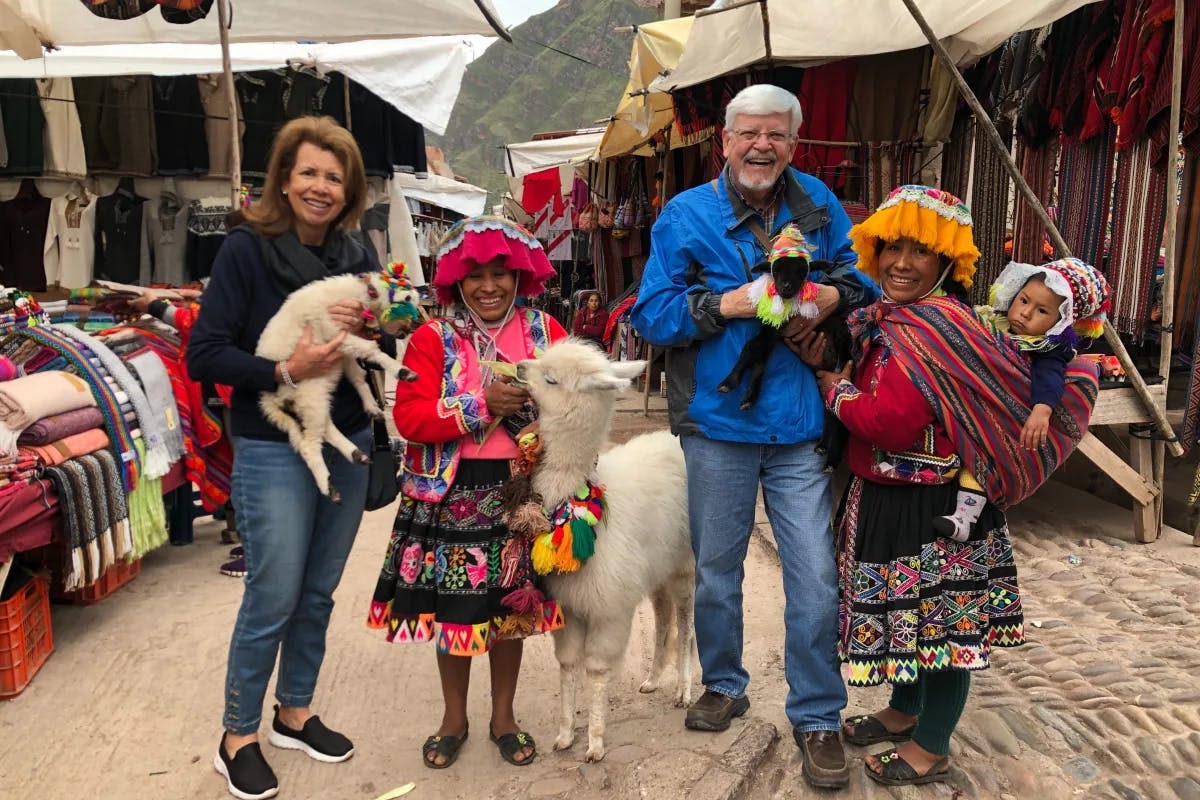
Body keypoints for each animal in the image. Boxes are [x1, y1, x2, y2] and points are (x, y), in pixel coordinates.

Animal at [254, 268, 422, 506]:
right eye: (408, 302)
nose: (411, 328)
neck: (359, 294)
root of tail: (269, 400)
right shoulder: (334, 333)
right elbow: (371, 350)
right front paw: (402, 371)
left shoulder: (343, 349)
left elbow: (359, 376)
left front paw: (372, 406)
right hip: (310, 389)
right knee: (310, 444)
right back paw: (328, 486)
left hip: (319, 386)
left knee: (325, 425)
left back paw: (355, 454)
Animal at [516, 340, 696, 762]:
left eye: (551, 378)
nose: (518, 367)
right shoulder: (570, 604)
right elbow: (567, 665)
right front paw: (565, 735)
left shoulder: (608, 606)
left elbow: (596, 669)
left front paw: (595, 743)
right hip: (655, 568)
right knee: (663, 614)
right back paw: (651, 678)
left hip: (685, 563)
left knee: (685, 619)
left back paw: (684, 689)